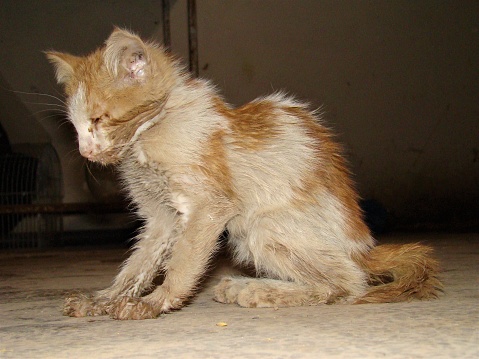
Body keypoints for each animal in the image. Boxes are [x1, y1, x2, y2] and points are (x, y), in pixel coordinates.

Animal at [46, 28, 442, 320]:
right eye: (75, 127)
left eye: (100, 119)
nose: (85, 151)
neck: (148, 135)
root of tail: (365, 248)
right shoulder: (161, 216)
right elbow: (136, 264)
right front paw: (103, 298)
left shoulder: (209, 207)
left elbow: (183, 261)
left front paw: (156, 301)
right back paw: (242, 286)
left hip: (259, 227)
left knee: (348, 283)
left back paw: (257, 290)